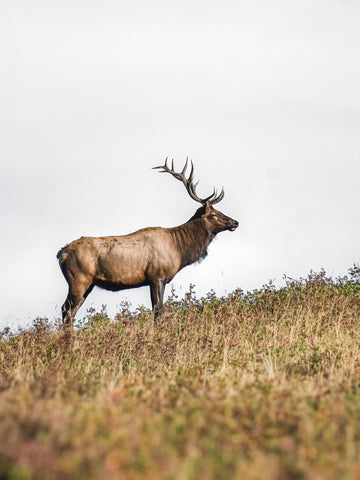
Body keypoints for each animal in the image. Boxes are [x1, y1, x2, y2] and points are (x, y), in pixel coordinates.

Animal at [57, 159, 239, 324]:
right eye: (214, 214)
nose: (235, 222)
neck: (179, 249)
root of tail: (61, 253)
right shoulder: (156, 276)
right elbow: (158, 310)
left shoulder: (160, 279)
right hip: (79, 278)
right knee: (67, 309)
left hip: (90, 283)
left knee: (70, 310)